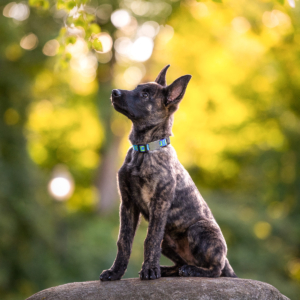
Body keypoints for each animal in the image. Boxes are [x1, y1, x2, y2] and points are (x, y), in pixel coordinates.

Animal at [100, 65, 237, 282]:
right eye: (137, 88)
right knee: (180, 263)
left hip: (199, 229)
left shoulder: (160, 202)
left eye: (146, 95)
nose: (115, 92)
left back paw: (193, 270)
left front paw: (149, 270)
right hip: (168, 239)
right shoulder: (128, 204)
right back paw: (168, 269)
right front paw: (115, 272)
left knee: (215, 269)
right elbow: (124, 241)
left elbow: (150, 239)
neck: (144, 149)